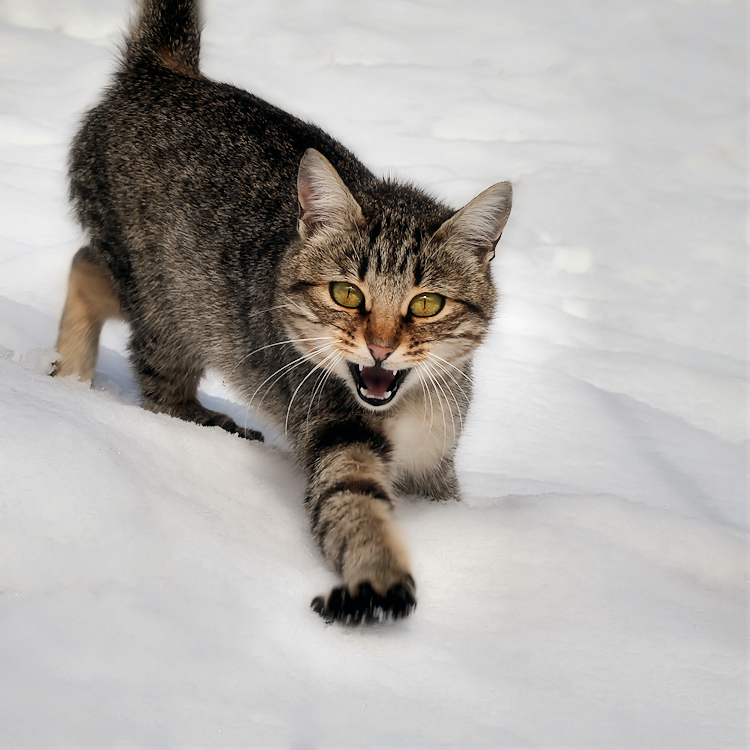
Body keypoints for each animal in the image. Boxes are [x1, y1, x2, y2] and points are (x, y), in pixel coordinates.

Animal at [51, 0, 512, 624]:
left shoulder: (436, 467)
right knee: (151, 374)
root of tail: (163, 71)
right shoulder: (335, 433)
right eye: (347, 295)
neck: (408, 404)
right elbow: (353, 503)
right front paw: (378, 577)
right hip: (167, 300)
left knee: (85, 265)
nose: (381, 347)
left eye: (426, 304)